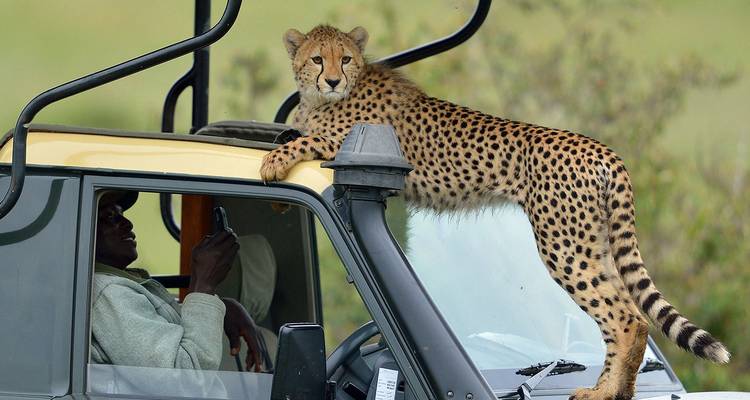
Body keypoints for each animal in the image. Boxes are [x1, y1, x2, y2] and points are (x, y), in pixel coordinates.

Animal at [260, 25, 730, 400]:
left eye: (345, 58)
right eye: (317, 58)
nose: (332, 79)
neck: (329, 96)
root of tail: (601, 147)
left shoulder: (347, 142)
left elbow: (304, 138)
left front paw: (271, 161)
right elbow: (294, 130)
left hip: (564, 246)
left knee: (626, 317)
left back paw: (604, 393)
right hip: (589, 242)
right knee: (627, 316)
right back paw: (612, 389)